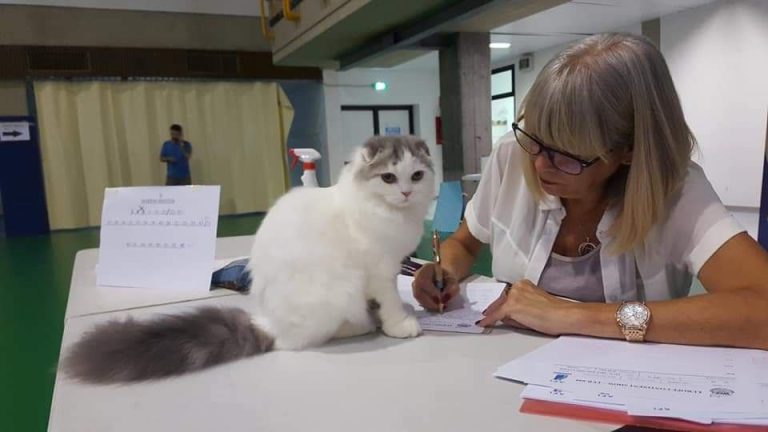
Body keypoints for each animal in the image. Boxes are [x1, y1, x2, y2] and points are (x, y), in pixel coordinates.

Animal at [63, 137, 436, 384]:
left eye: (416, 176)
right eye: (388, 178)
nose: (406, 192)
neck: (386, 211)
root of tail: (267, 323)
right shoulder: (380, 270)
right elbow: (389, 301)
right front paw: (400, 323)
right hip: (336, 294)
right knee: (297, 342)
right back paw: (359, 325)